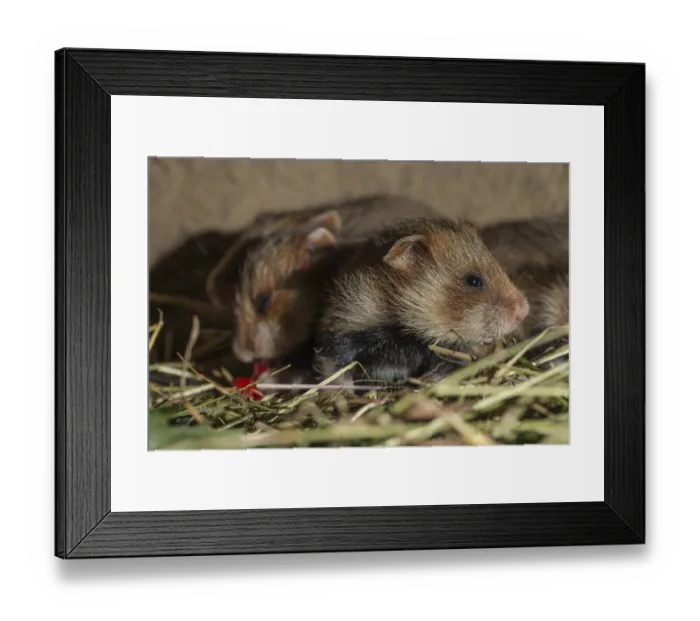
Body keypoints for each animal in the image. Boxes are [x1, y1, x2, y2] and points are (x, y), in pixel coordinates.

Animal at [312, 218, 530, 384]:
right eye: (473, 280)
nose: (523, 312)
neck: (404, 331)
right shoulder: (340, 336)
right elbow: (336, 372)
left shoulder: (450, 352)